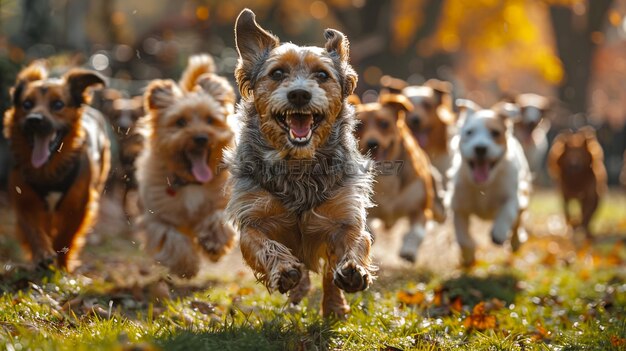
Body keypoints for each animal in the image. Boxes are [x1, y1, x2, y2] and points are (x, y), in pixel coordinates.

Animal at [135, 54, 235, 280]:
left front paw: (214, 243)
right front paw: (185, 266)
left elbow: (217, 218)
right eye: (180, 122)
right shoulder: (158, 217)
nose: (201, 138)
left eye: (210, 120)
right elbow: (172, 238)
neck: (192, 183)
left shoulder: (224, 201)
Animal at [227, 8, 372, 320]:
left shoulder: (343, 216)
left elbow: (354, 242)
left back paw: (334, 305)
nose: (299, 94)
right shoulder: (254, 217)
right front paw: (283, 270)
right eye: (277, 73)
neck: (298, 164)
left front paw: (353, 271)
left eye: (322, 75)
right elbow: (264, 244)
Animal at [352, 93, 444, 264]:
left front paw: (409, 250)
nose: (372, 143)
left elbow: (416, 231)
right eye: (359, 126)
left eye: (384, 123)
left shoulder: (420, 208)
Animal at [446, 99, 528, 266]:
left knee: (518, 221)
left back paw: (515, 241)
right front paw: (468, 255)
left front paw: (499, 233)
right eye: (469, 132)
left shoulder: (513, 196)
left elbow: (507, 211)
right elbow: (462, 236)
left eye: (495, 133)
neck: (485, 185)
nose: (480, 148)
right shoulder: (459, 206)